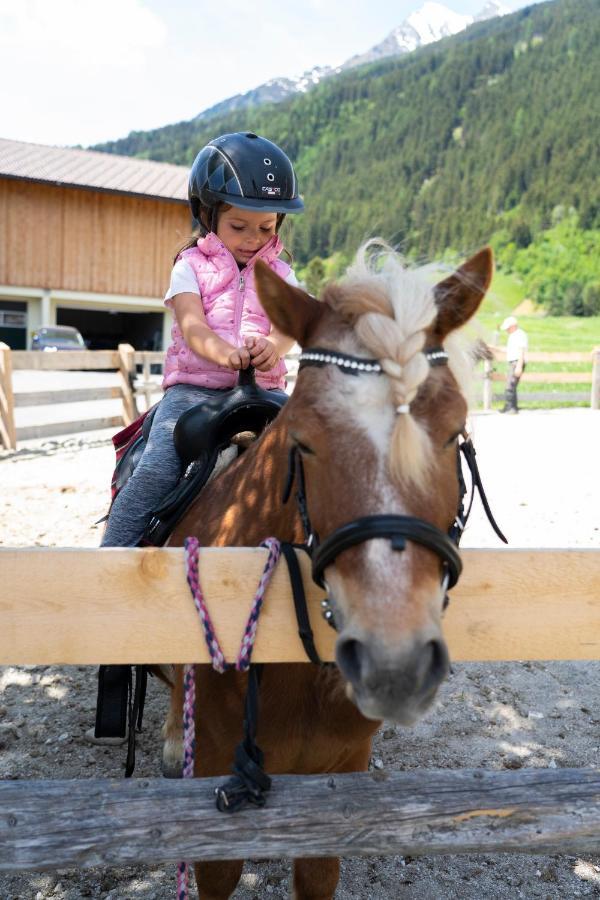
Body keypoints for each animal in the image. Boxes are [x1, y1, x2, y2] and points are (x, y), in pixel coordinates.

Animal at [163, 244, 492, 900]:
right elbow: (218, 871)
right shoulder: (212, 770)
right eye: (305, 440)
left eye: (454, 431)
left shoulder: (340, 781)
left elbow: (317, 874)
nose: (395, 664)